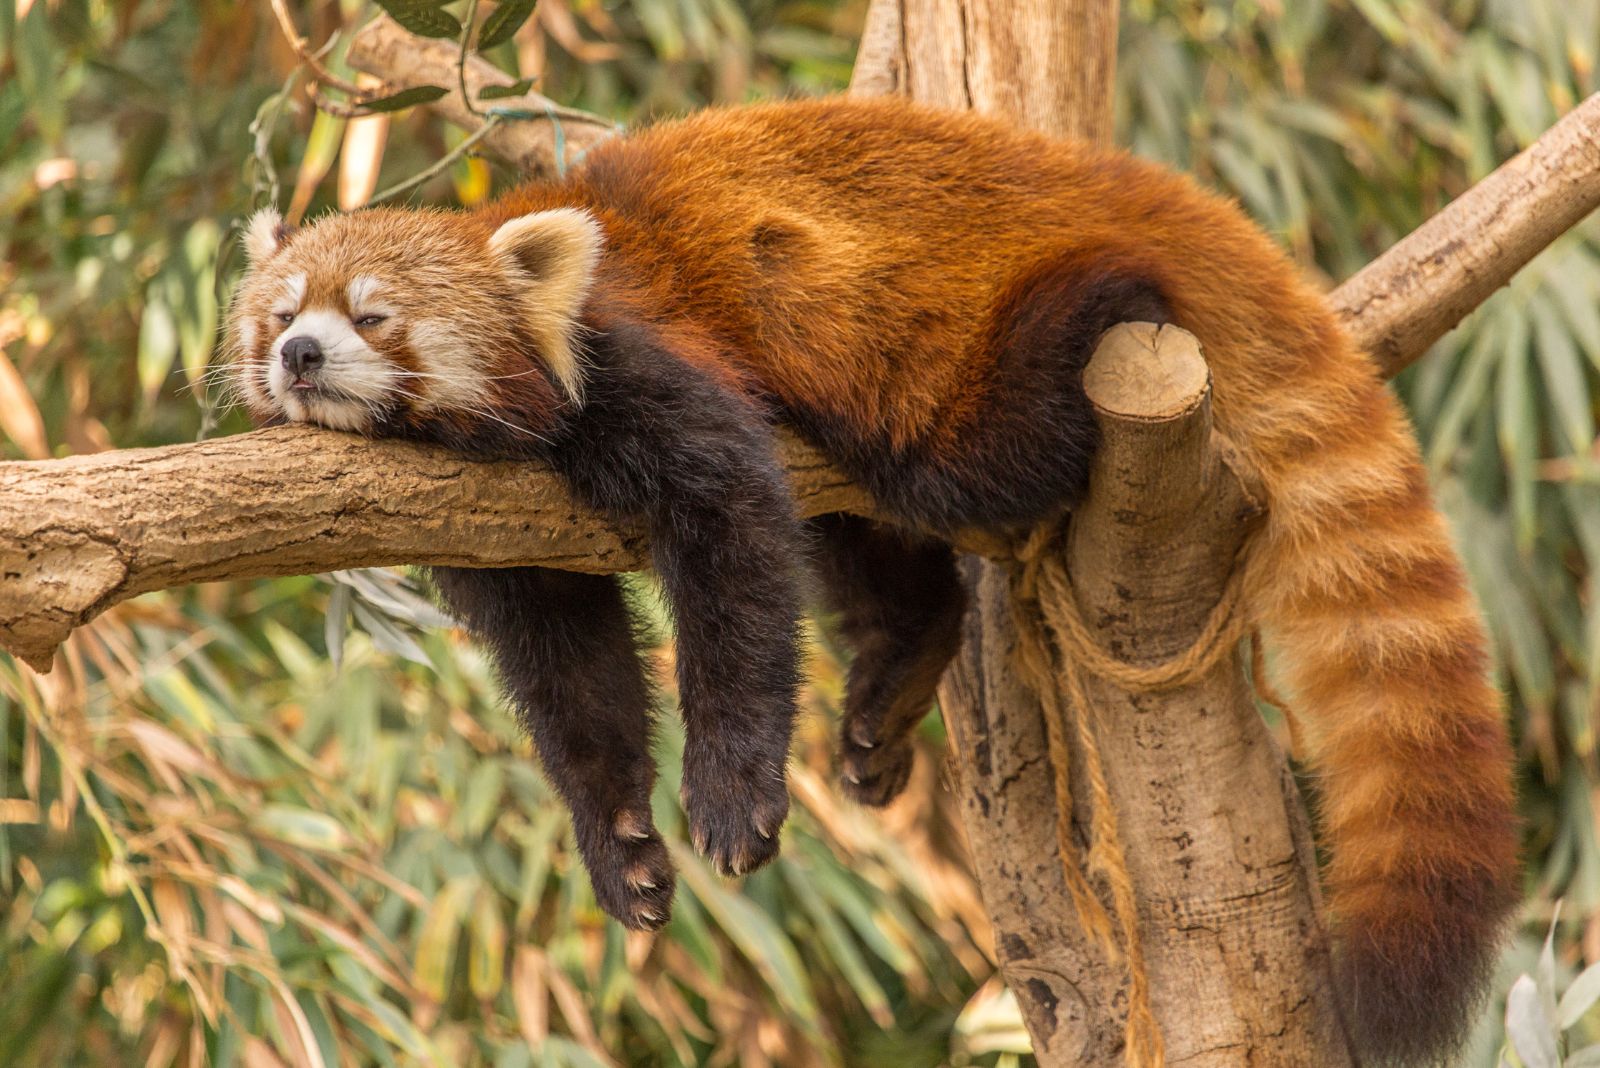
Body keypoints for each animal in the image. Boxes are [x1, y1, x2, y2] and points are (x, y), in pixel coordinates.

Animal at [225, 95, 1510, 1061]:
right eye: (280, 312)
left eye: (372, 316)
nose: (298, 354)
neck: (471, 442)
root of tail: (1111, 182)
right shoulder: (500, 533)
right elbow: (571, 675)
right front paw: (622, 842)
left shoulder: (636, 359)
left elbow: (737, 550)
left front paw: (729, 794)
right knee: (871, 545)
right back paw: (897, 675)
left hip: (931, 342)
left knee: (963, 455)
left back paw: (1101, 300)